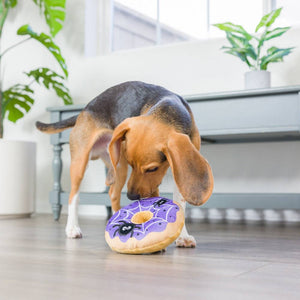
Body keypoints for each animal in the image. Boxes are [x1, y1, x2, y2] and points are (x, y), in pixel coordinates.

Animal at [37, 81, 213, 247]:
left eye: (153, 168)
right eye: (132, 163)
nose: (131, 196)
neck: (168, 110)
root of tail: (85, 109)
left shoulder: (177, 171)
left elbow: (179, 204)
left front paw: (182, 236)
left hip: (119, 166)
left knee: (113, 194)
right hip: (81, 163)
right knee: (73, 196)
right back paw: (72, 228)